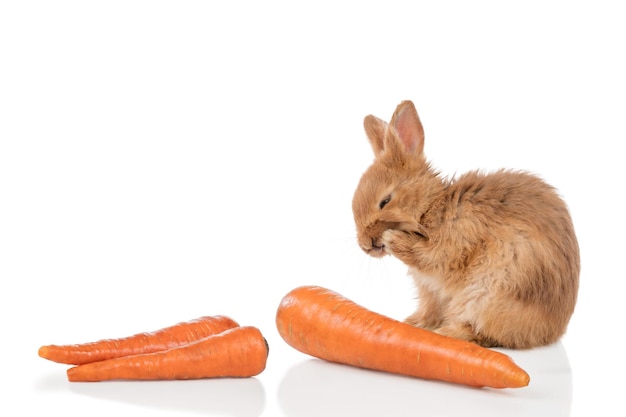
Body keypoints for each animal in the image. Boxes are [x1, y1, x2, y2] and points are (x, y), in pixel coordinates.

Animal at [354, 100, 576, 348]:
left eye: (385, 201)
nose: (365, 244)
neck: (431, 206)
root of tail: (551, 331)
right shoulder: (430, 291)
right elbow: (429, 310)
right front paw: (411, 324)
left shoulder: (450, 247)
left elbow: (427, 255)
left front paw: (393, 238)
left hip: (489, 293)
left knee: (483, 333)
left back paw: (446, 333)